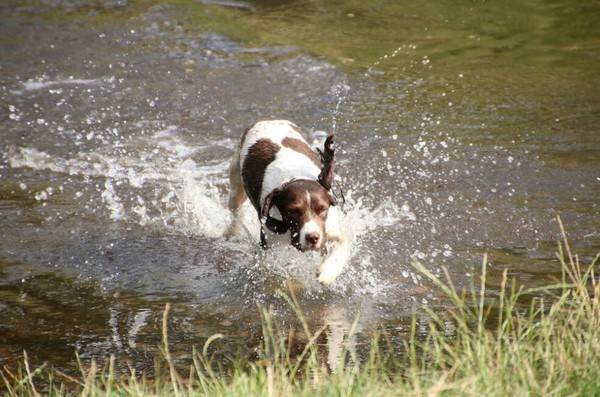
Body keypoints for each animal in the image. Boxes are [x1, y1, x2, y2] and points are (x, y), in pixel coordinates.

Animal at [226, 119, 350, 284]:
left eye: (322, 209)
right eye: (293, 211)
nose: (313, 237)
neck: (294, 177)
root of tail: (268, 120)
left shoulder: (330, 229)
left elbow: (344, 242)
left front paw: (328, 271)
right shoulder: (269, 245)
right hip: (235, 186)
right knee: (236, 211)